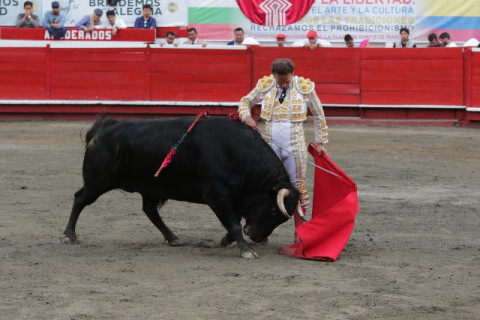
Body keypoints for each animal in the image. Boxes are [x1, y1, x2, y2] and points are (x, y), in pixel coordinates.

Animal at [62, 116, 298, 258]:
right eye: (274, 210)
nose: (257, 236)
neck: (236, 152)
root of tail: (105, 127)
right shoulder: (217, 196)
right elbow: (233, 223)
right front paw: (247, 251)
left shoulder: (231, 199)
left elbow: (234, 223)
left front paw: (226, 241)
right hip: (97, 182)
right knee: (80, 199)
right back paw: (69, 235)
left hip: (150, 187)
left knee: (149, 210)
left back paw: (172, 238)